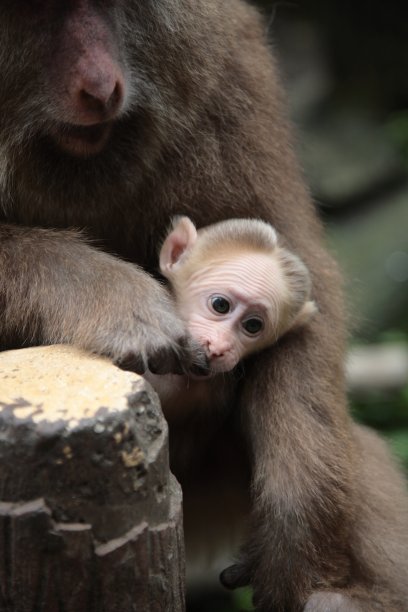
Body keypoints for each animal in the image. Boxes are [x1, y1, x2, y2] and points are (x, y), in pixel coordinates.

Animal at [0, 1, 406, 612]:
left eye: (114, 6)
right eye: (40, 13)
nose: (101, 87)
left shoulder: (222, 52)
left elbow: (299, 260)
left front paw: (298, 522)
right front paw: (109, 295)